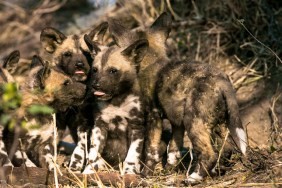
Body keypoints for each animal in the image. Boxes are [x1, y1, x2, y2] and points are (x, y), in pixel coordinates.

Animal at [69, 26, 147, 175]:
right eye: (95, 70)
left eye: (113, 71)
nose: (96, 85)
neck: (116, 102)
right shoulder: (99, 127)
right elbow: (93, 155)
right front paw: (89, 172)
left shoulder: (136, 128)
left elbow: (132, 156)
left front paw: (129, 173)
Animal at [109, 12, 248, 183]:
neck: (151, 61)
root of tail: (221, 81)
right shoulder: (176, 123)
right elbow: (173, 150)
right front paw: (168, 170)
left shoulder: (153, 117)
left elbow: (151, 150)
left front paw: (146, 174)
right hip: (219, 123)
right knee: (227, 148)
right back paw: (215, 171)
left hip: (193, 122)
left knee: (209, 154)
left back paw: (194, 178)